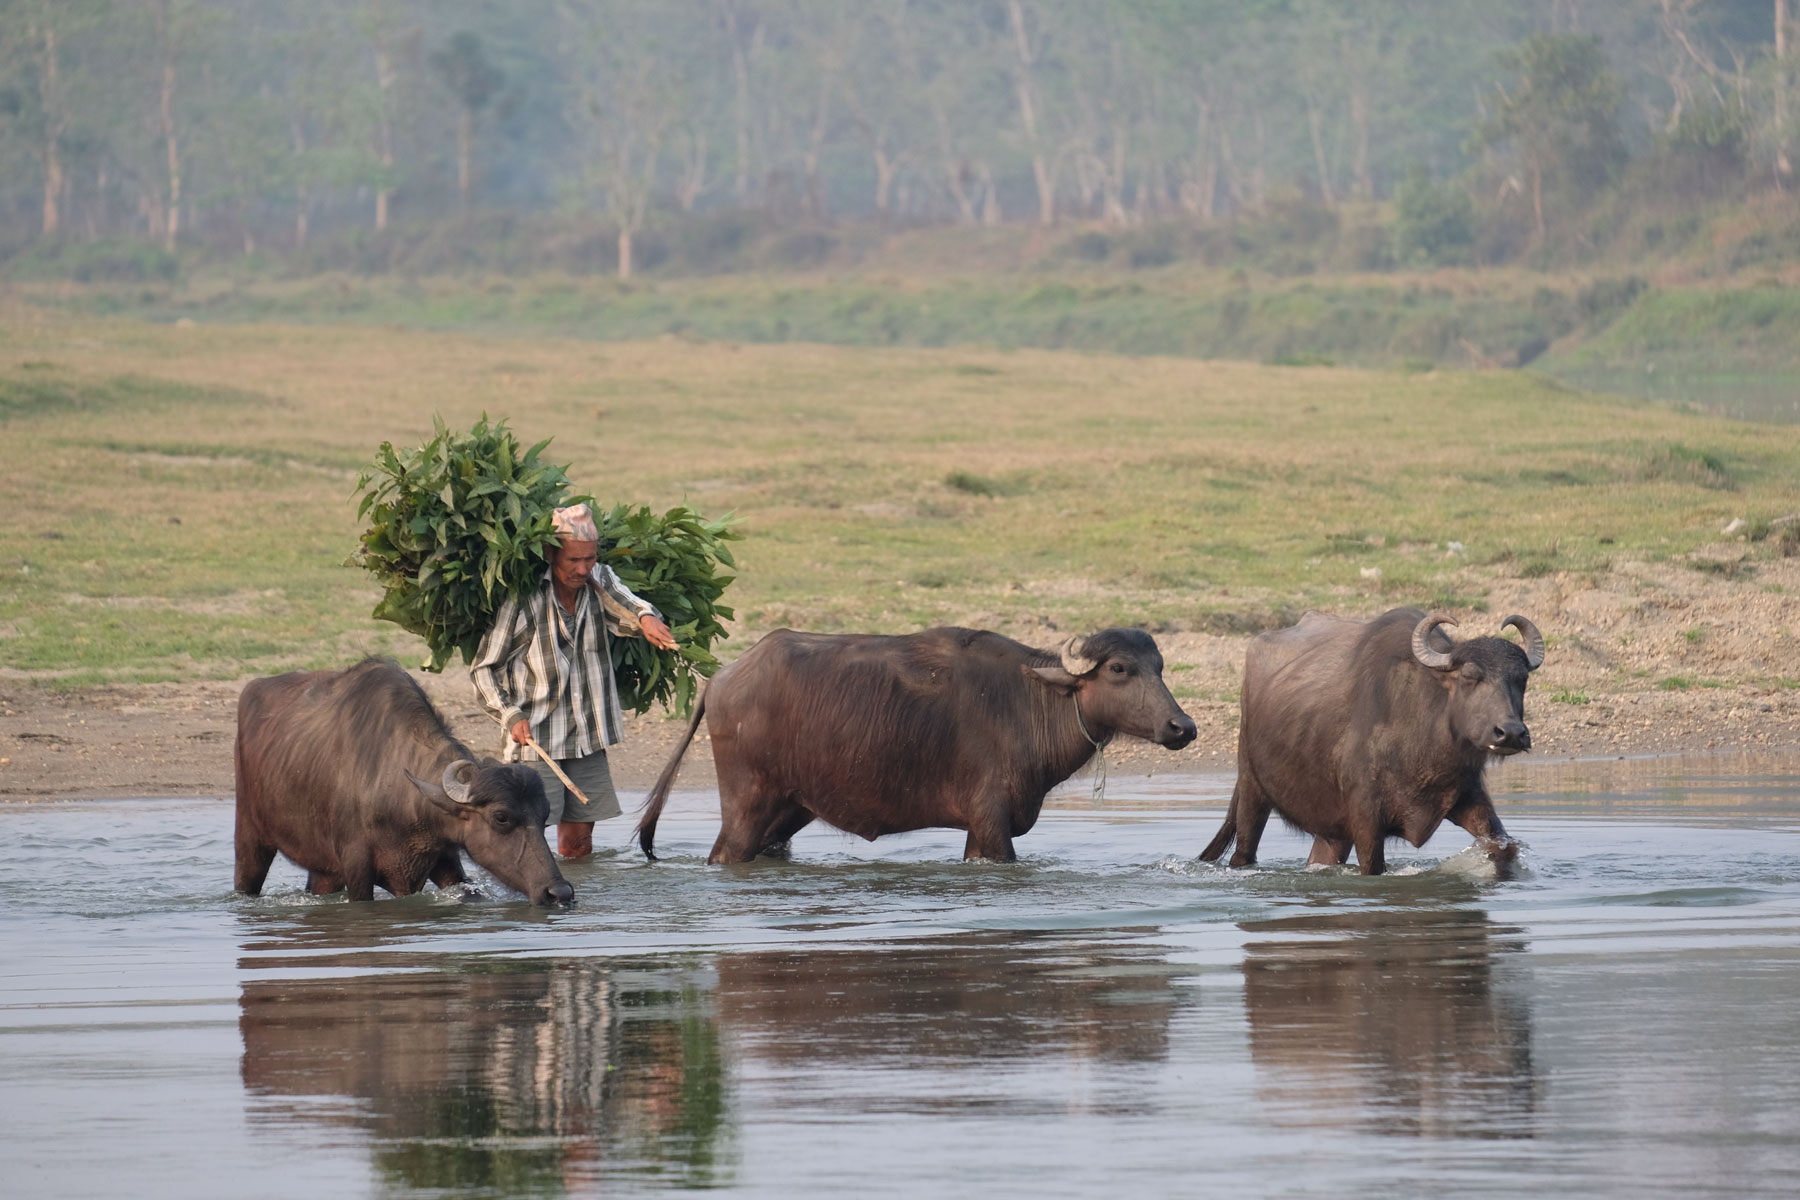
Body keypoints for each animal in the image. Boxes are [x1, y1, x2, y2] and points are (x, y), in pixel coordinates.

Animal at [232, 662, 568, 906]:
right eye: (501, 817)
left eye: (544, 817)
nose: (559, 892)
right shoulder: (356, 870)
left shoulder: (444, 861)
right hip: (250, 838)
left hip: (323, 870)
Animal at [633, 629, 1195, 863]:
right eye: (1119, 668)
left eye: (1160, 666)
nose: (1183, 726)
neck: (1028, 702)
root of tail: (721, 678)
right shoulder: (991, 823)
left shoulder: (979, 831)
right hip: (747, 804)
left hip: (790, 808)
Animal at [1195, 604, 1548, 877]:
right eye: (1470, 676)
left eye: (1521, 678)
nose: (1511, 732)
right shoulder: (1366, 819)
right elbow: (1373, 868)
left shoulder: (1469, 797)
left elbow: (1502, 848)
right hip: (1252, 787)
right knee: (1244, 852)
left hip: (1332, 829)